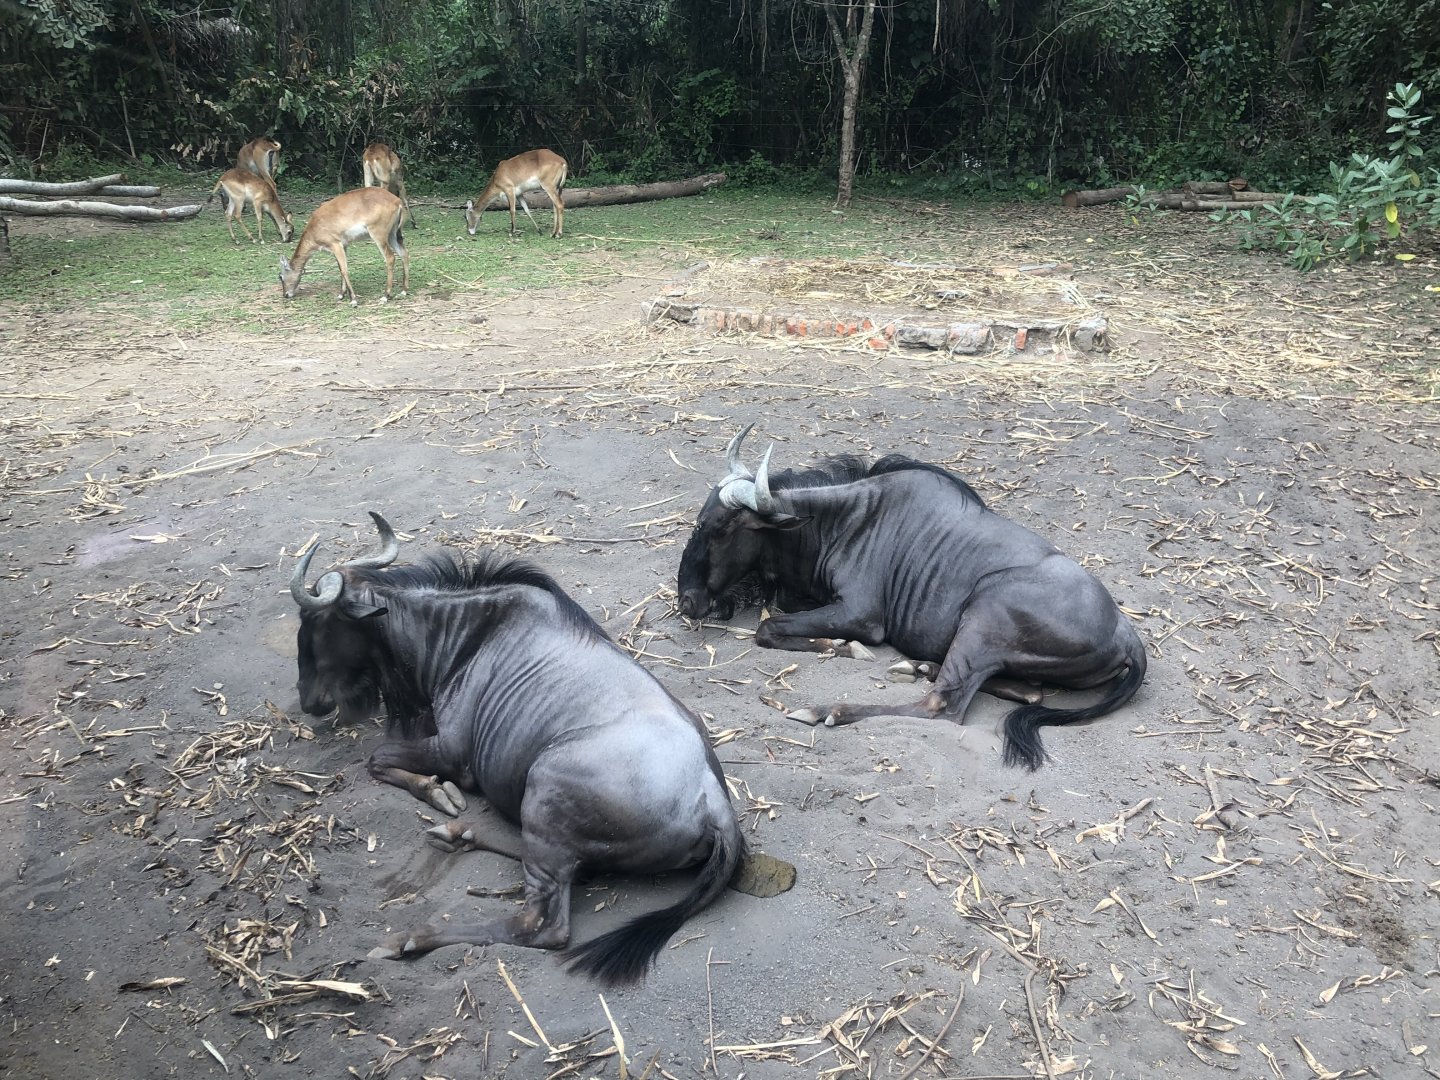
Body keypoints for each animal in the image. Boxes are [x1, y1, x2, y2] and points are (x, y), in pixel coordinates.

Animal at [278, 188, 410, 305]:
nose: (285, 294)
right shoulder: (344, 245)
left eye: (280, 276)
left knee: (390, 257)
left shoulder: (335, 244)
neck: (313, 229)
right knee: (404, 253)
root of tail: (397, 201)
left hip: (379, 235)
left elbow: (344, 270)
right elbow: (340, 269)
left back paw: (385, 296)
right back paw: (403, 291)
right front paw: (341, 295)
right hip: (393, 234)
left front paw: (353, 300)